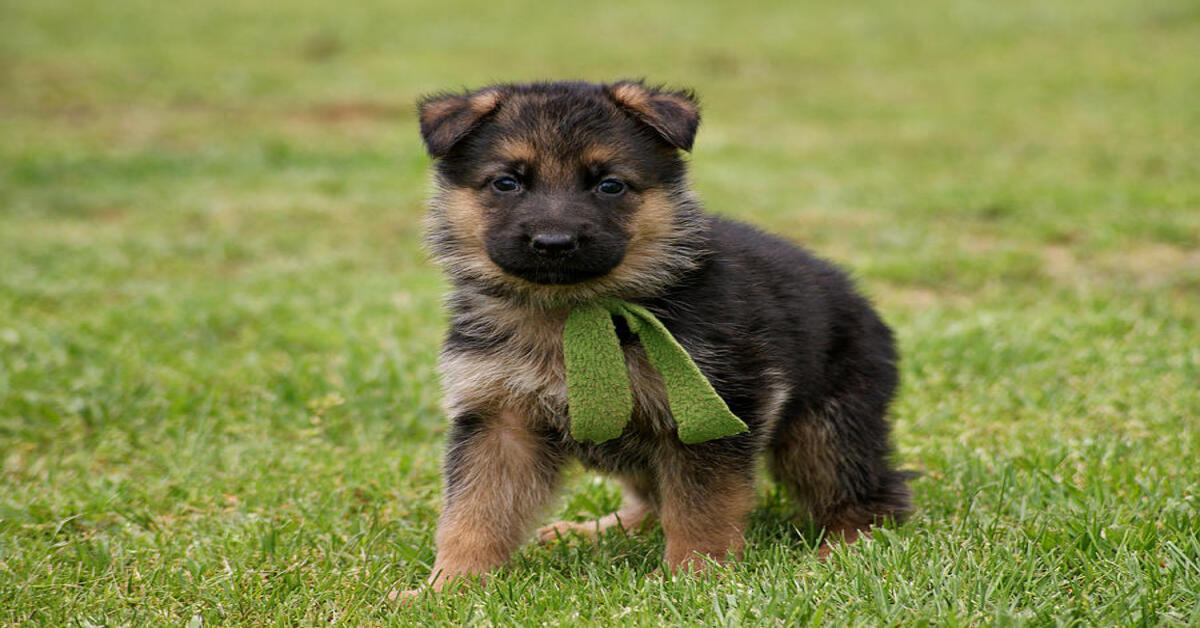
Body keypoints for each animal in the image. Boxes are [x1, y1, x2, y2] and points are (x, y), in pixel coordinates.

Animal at [400, 81, 907, 597]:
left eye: (609, 185)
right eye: (506, 183)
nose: (554, 243)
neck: (576, 313)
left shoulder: (708, 413)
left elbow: (701, 507)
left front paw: (693, 576)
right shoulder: (499, 422)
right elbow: (473, 515)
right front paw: (447, 588)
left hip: (824, 430)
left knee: (872, 495)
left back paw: (839, 551)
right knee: (650, 501)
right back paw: (595, 529)